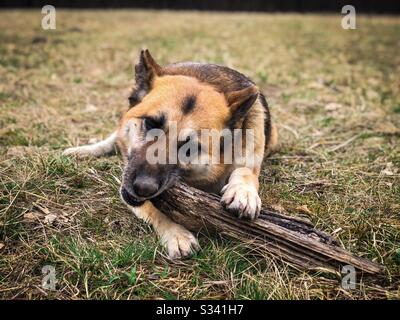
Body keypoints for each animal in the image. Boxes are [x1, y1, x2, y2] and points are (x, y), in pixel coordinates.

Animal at [65, 50, 278, 260]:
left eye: (190, 147)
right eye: (151, 123)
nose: (143, 187)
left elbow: (246, 171)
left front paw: (243, 191)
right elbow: (155, 209)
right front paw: (177, 233)